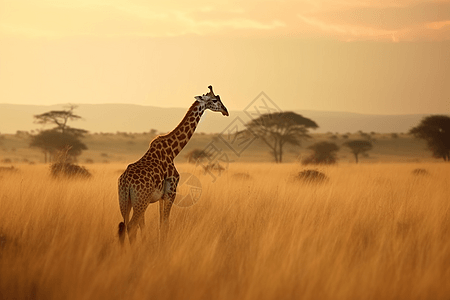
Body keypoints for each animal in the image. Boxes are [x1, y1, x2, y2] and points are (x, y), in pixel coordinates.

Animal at [117, 85, 229, 245]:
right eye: (214, 100)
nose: (226, 111)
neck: (173, 151)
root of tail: (126, 181)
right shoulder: (171, 192)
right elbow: (165, 224)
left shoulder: (161, 196)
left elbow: (158, 224)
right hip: (141, 200)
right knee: (131, 226)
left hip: (125, 200)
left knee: (123, 226)